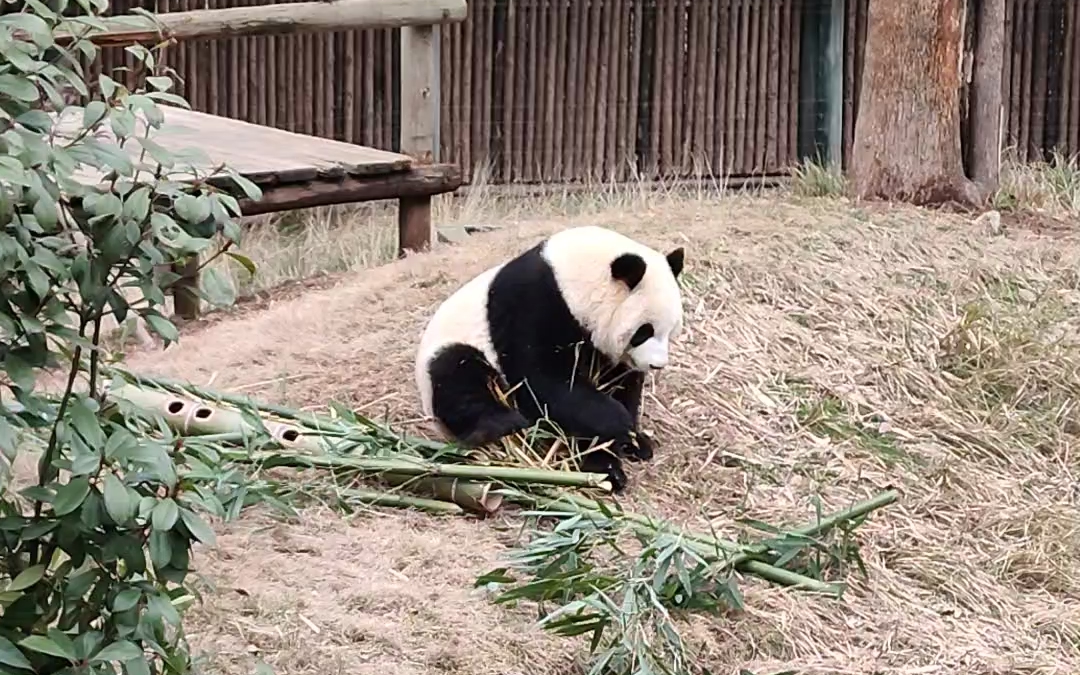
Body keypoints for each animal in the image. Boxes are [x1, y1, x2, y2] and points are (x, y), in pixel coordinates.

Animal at [412, 223, 682, 492]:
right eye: (644, 331)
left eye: (670, 330)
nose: (657, 364)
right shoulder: (534, 306)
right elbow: (541, 380)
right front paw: (618, 425)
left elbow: (618, 384)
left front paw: (630, 443)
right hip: (451, 351)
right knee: (459, 377)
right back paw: (500, 425)